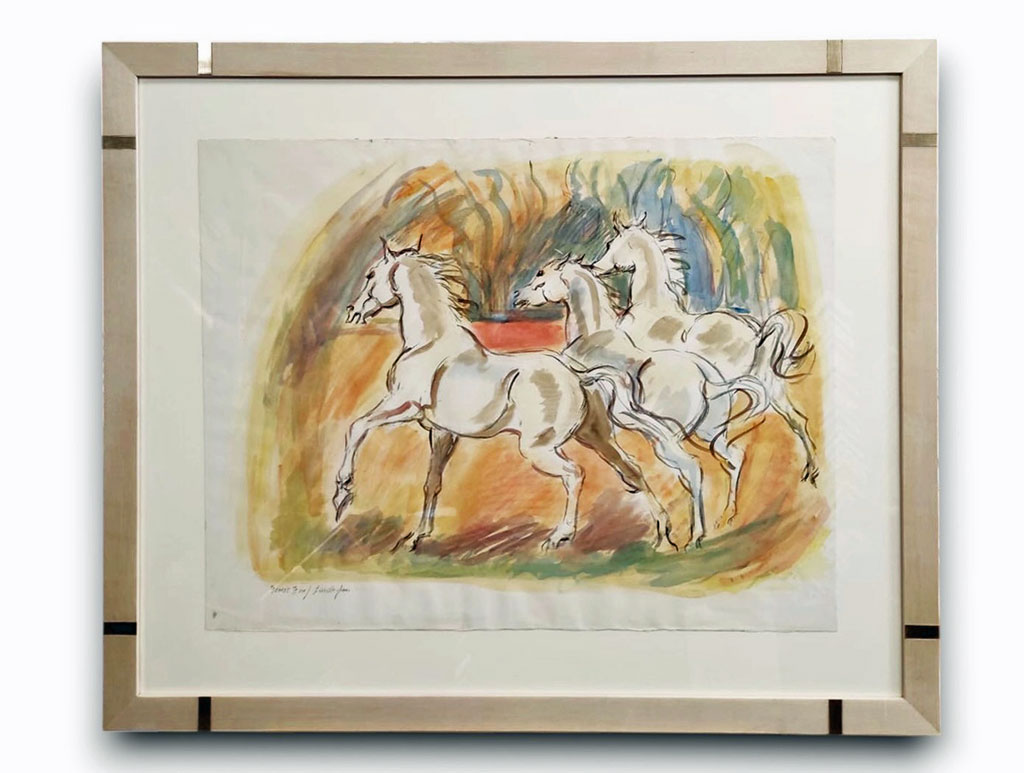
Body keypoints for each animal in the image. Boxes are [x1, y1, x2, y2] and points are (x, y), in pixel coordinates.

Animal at [332, 239, 689, 551]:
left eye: (370, 275)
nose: (352, 311)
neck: (430, 342)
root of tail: (578, 375)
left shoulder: (404, 405)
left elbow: (357, 427)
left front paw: (342, 495)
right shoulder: (441, 431)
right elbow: (432, 481)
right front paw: (415, 538)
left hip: (538, 448)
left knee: (575, 474)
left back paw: (561, 536)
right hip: (595, 436)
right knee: (632, 470)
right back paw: (664, 534)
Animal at [513, 256, 769, 544]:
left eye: (541, 276)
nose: (518, 297)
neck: (593, 336)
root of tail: (708, 381)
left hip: (669, 439)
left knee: (693, 469)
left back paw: (695, 535)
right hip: (708, 433)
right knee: (732, 459)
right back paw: (725, 517)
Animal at [588, 216, 819, 487]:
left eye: (612, 244)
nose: (595, 267)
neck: (650, 307)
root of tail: (755, 334)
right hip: (770, 386)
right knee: (797, 420)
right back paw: (811, 472)